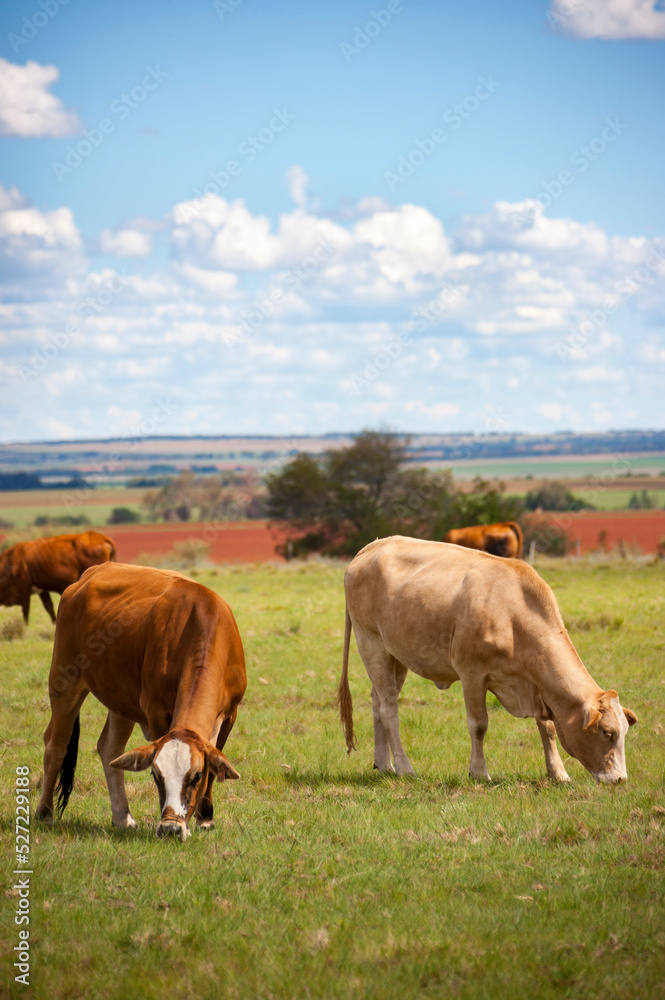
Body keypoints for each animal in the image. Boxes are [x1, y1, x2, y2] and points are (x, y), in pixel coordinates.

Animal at [35, 568, 246, 840]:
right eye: (155, 775)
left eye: (196, 775)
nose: (170, 828)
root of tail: (90, 574)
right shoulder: (156, 713)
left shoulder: (230, 714)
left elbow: (214, 763)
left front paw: (206, 818)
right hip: (64, 681)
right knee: (56, 746)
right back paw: (45, 812)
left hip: (120, 702)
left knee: (109, 749)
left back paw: (122, 817)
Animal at [338, 540, 640, 780]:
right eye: (608, 733)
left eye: (625, 733)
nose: (620, 779)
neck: (513, 616)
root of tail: (373, 546)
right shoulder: (472, 674)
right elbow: (479, 724)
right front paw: (479, 772)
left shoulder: (537, 685)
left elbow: (548, 728)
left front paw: (558, 773)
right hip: (371, 643)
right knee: (389, 708)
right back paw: (404, 767)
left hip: (395, 655)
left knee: (378, 701)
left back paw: (384, 763)